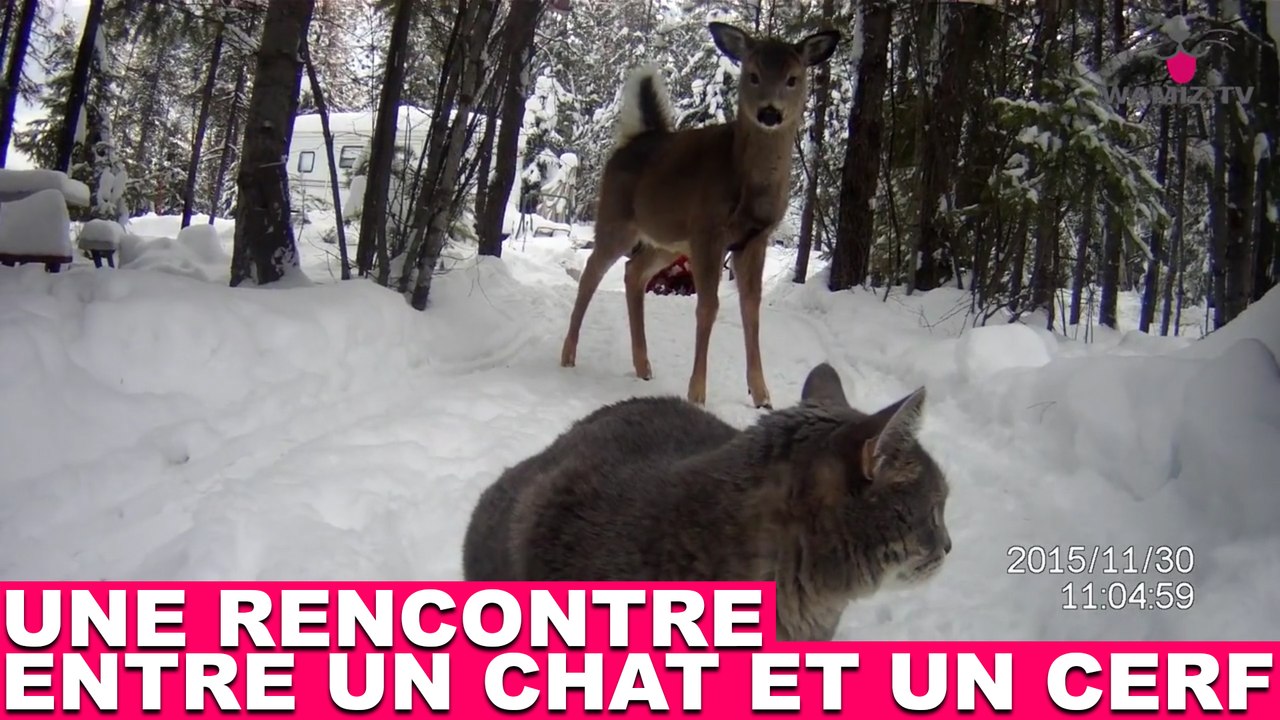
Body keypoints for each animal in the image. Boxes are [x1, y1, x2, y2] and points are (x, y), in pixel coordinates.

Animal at [558, 21, 841, 409]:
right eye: (752, 75)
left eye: (793, 78)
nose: (770, 113)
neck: (746, 182)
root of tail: (633, 140)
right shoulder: (709, 229)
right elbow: (708, 306)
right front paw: (697, 392)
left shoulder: (755, 239)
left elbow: (751, 308)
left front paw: (762, 395)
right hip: (617, 218)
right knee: (591, 273)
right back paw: (568, 356)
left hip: (668, 240)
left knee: (634, 273)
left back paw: (643, 366)